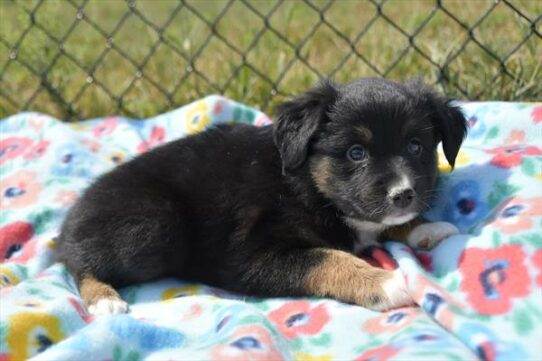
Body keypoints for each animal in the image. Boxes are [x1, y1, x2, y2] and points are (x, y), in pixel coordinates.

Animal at [57, 77, 470, 314]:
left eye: (416, 146)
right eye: (356, 153)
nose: (404, 194)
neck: (309, 186)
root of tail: (68, 221)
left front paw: (426, 228)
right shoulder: (251, 254)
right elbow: (326, 258)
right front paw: (384, 283)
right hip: (154, 223)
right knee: (80, 263)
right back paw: (105, 300)